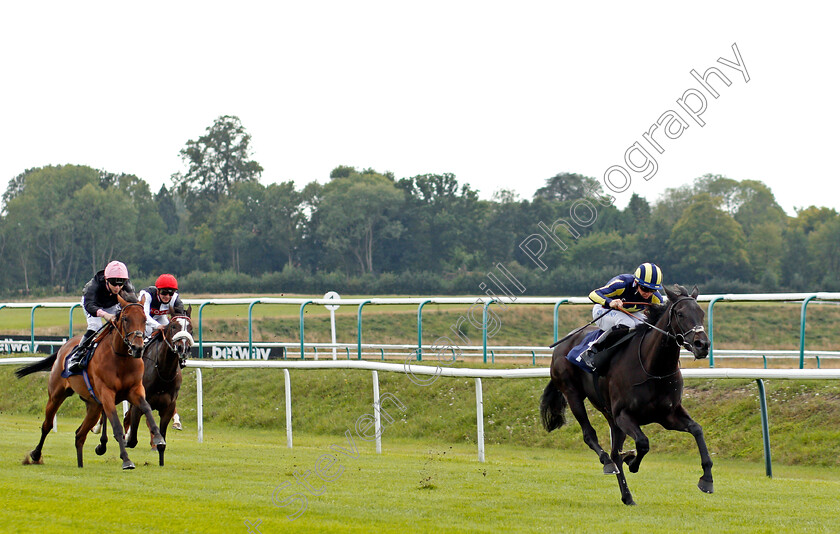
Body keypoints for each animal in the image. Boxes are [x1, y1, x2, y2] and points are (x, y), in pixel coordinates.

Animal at [14, 292, 165, 472]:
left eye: (144, 319)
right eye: (125, 319)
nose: (137, 348)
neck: (121, 358)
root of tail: (64, 347)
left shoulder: (135, 390)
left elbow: (147, 408)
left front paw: (159, 438)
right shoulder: (107, 394)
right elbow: (117, 426)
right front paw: (126, 460)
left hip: (94, 406)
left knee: (80, 434)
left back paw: (80, 463)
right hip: (56, 395)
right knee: (47, 425)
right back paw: (36, 454)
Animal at [122, 308, 194, 466]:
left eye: (191, 328)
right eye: (173, 326)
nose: (182, 348)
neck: (163, 372)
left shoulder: (168, 407)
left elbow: (162, 441)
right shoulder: (141, 403)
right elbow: (133, 439)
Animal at [540, 284, 712, 506]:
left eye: (701, 313)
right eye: (680, 314)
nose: (702, 345)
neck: (653, 368)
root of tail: (563, 344)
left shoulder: (668, 415)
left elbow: (697, 429)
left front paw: (707, 480)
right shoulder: (624, 415)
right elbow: (643, 443)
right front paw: (632, 461)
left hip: (610, 416)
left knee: (614, 452)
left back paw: (627, 496)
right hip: (573, 394)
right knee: (591, 436)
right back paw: (607, 462)